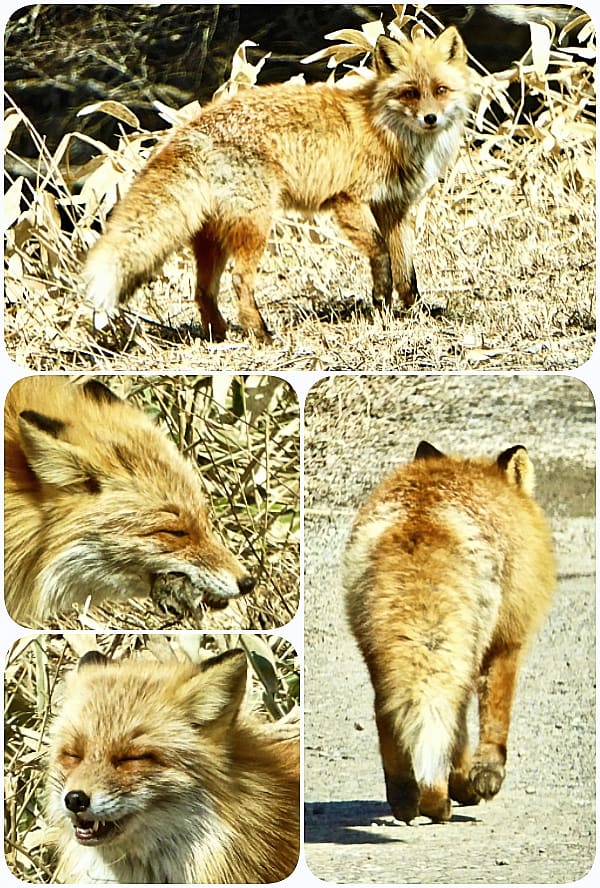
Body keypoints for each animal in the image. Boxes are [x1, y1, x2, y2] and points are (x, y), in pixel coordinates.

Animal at [84, 24, 476, 344]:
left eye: (440, 90)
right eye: (410, 93)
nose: (430, 118)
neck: (384, 130)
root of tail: (189, 129)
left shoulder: (394, 207)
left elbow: (407, 270)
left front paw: (415, 311)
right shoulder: (348, 200)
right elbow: (381, 254)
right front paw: (380, 300)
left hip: (213, 238)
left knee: (203, 292)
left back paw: (220, 338)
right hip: (255, 225)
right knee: (239, 282)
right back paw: (262, 335)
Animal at [344, 440, 556, 824]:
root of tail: (419, 521)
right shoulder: (506, 641)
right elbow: (495, 719)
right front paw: (486, 774)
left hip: (382, 654)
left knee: (390, 715)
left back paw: (407, 798)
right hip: (463, 653)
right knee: (447, 723)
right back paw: (439, 799)